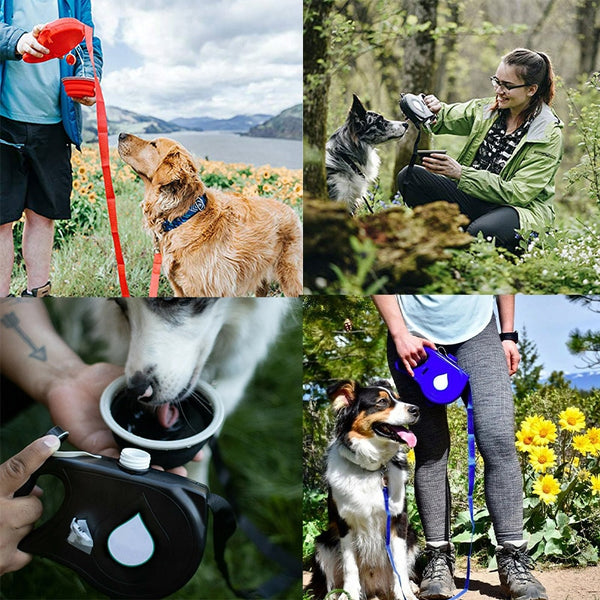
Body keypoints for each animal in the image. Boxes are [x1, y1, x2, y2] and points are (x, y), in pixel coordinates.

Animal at [118, 134, 304, 298]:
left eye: (153, 144)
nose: (120, 135)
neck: (183, 216)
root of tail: (292, 210)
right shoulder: (179, 288)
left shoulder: (207, 289)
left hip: (290, 277)